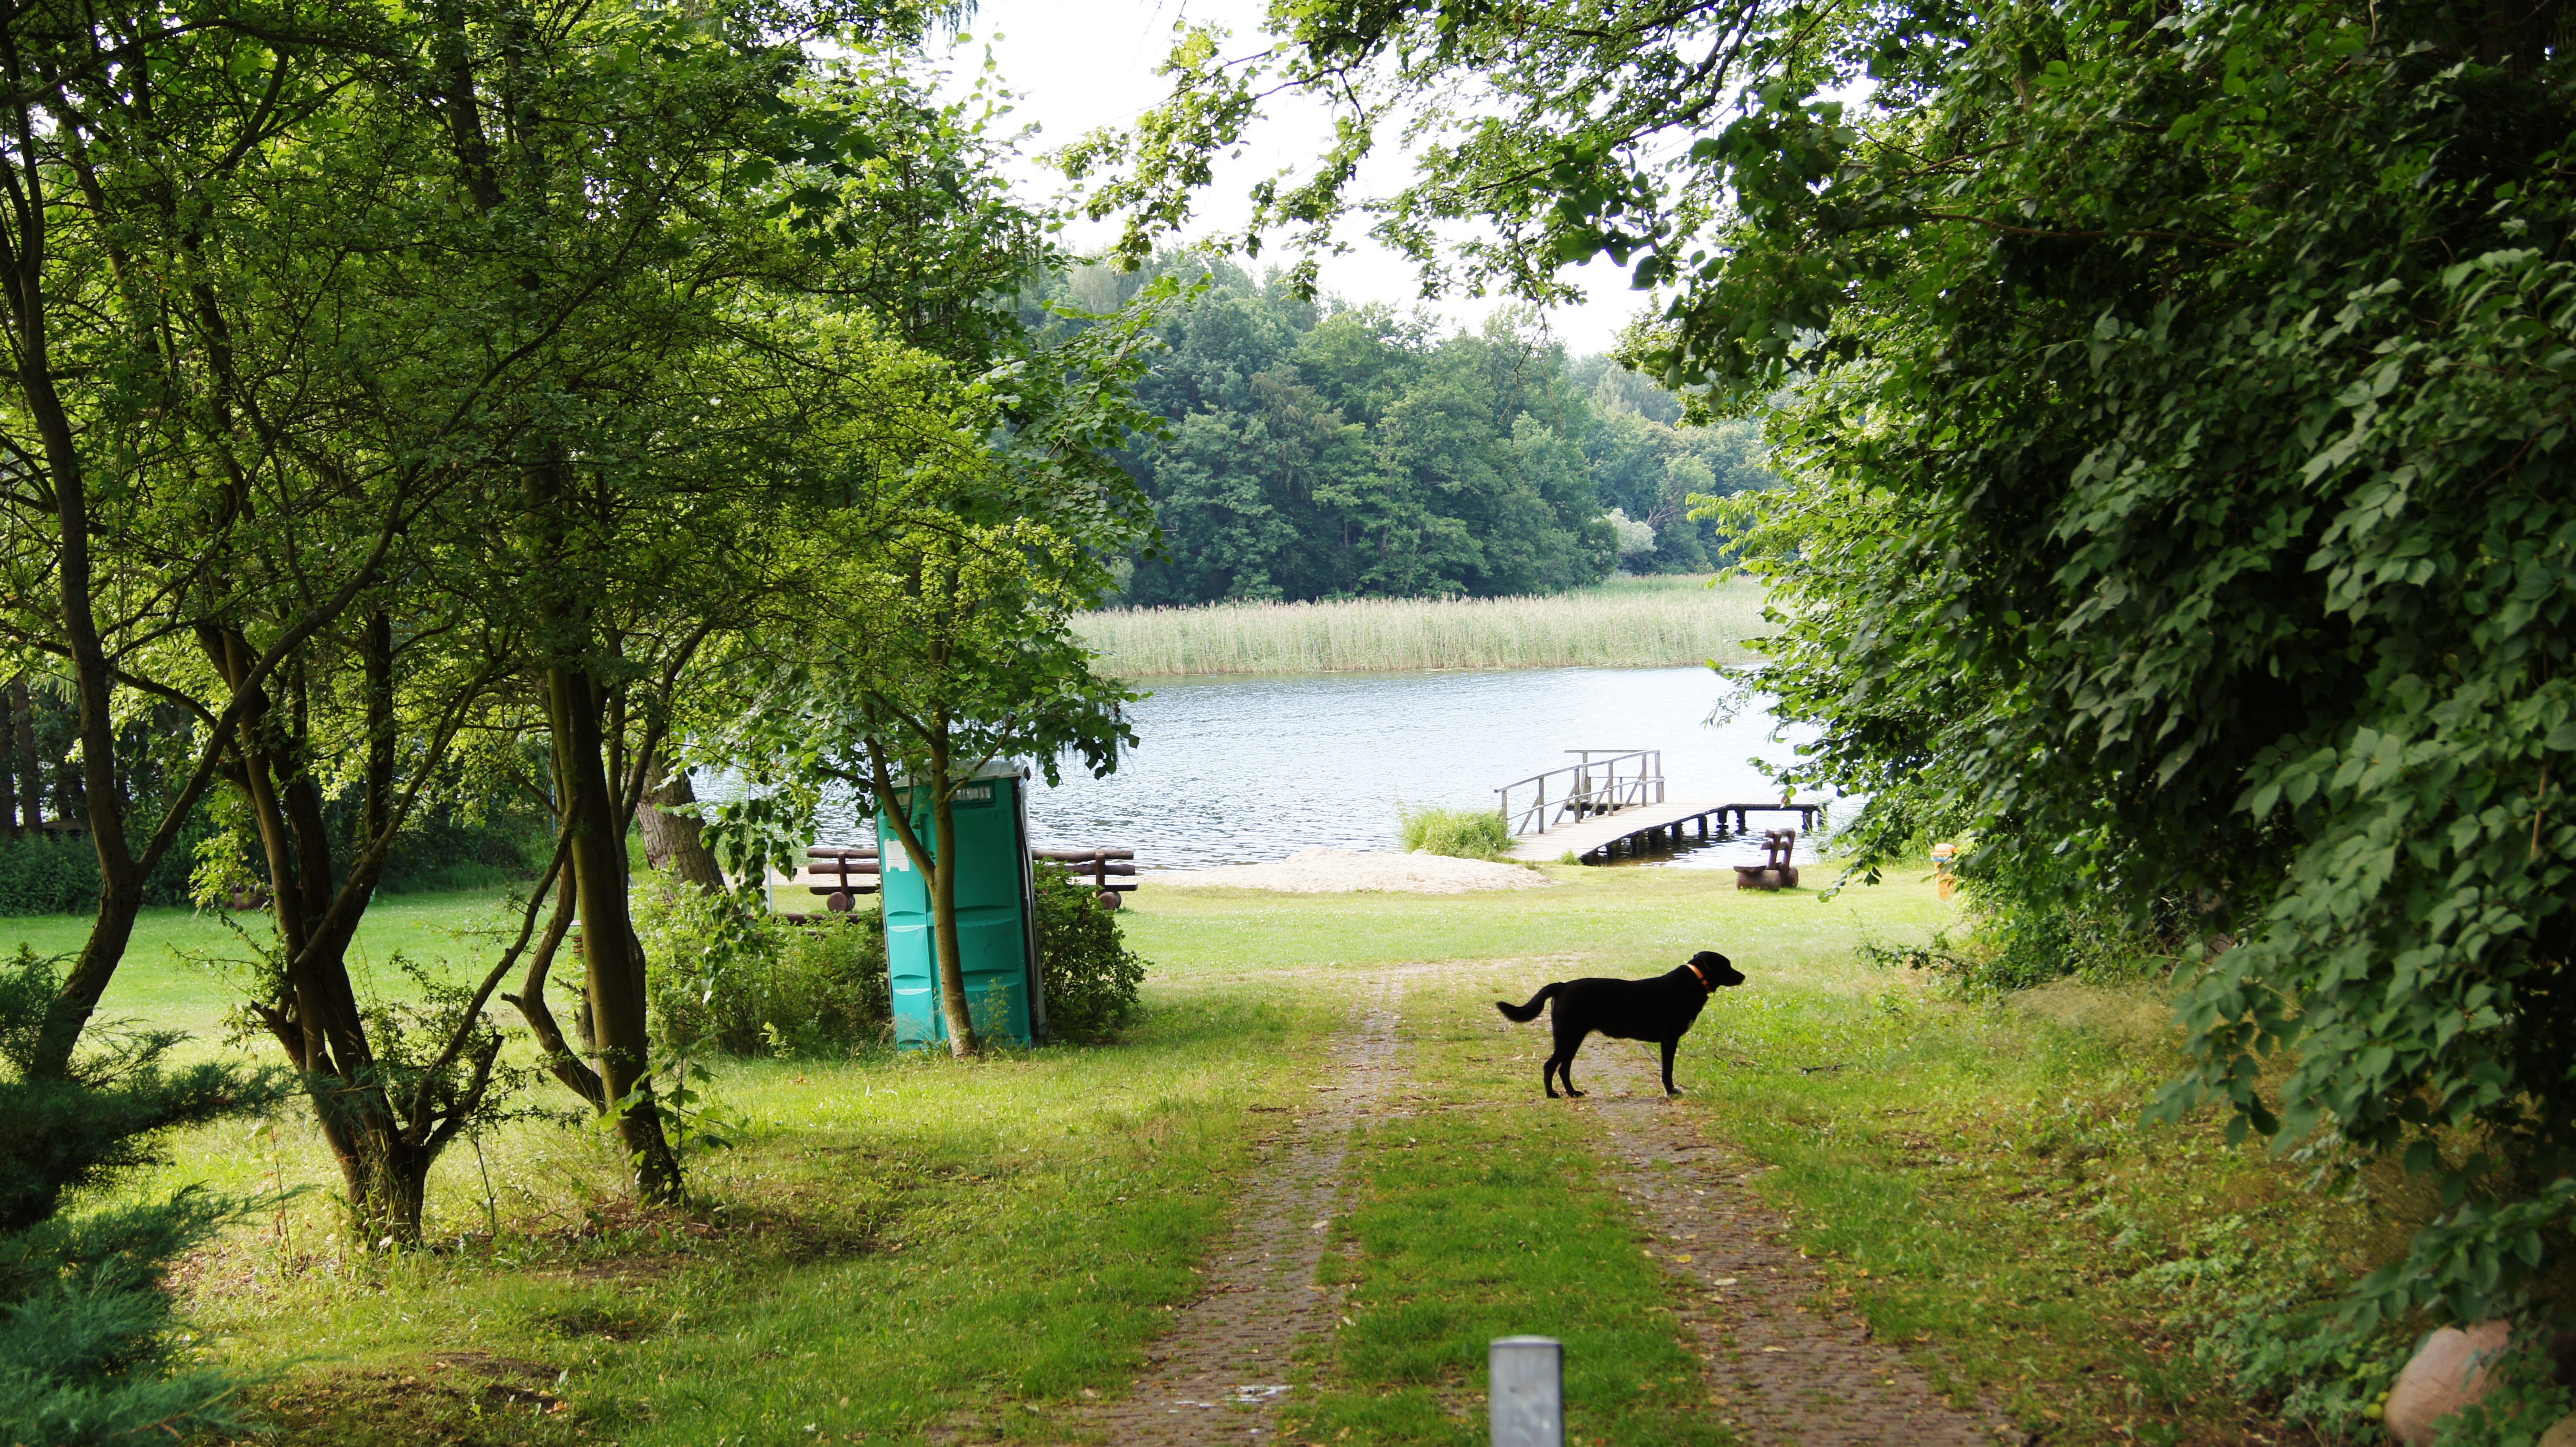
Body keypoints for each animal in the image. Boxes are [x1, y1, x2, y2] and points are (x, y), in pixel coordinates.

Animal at [1494, 947, 1752, 1092]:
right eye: (1727, 965)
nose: (1743, 976)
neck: (1694, 981)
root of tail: (1562, 986)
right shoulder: (1670, 1040)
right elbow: (1667, 1070)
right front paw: (1671, 1091)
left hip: (1573, 1038)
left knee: (1564, 1068)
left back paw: (1572, 1092)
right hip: (1568, 1036)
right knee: (1551, 1066)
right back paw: (1552, 1094)